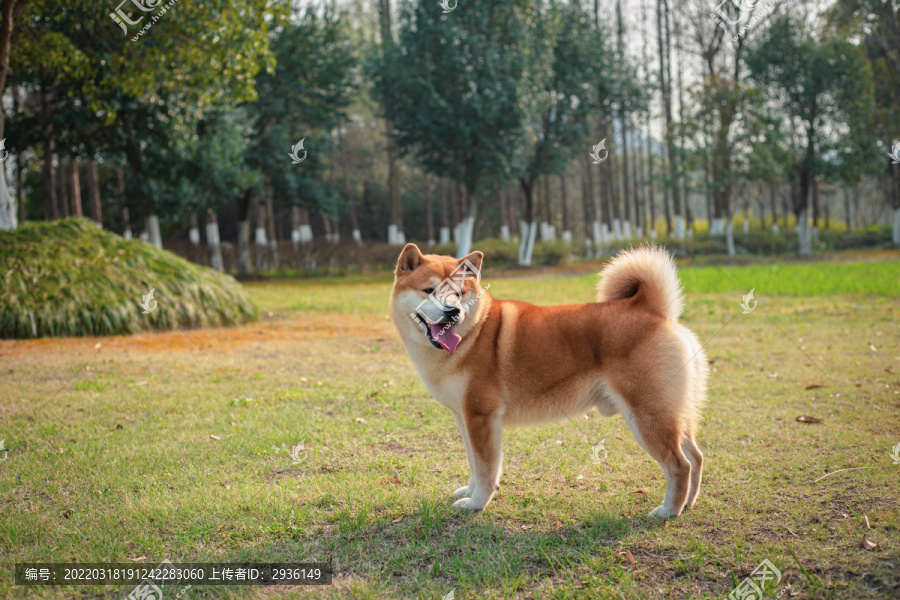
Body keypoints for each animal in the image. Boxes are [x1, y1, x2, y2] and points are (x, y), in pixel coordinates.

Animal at [390, 244, 708, 516]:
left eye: (459, 293)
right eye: (430, 290)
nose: (453, 311)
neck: (474, 333)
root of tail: (651, 309)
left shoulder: (481, 417)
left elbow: (486, 468)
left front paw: (477, 503)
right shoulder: (465, 418)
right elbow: (473, 461)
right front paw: (468, 491)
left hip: (647, 416)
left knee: (679, 465)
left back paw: (668, 511)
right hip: (672, 414)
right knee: (696, 457)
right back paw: (688, 504)